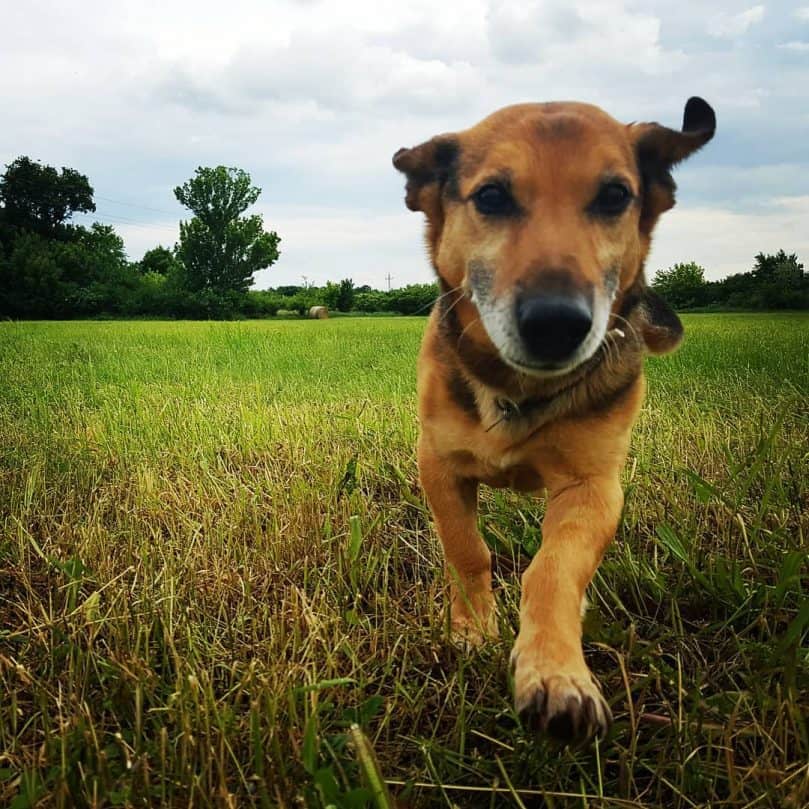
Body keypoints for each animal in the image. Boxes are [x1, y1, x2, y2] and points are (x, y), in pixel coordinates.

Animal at [394, 98, 716, 740]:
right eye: (492, 196)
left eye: (615, 195)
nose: (556, 323)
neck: (519, 390)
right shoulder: (438, 465)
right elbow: (467, 550)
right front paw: (472, 631)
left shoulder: (593, 486)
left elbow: (553, 569)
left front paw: (554, 674)